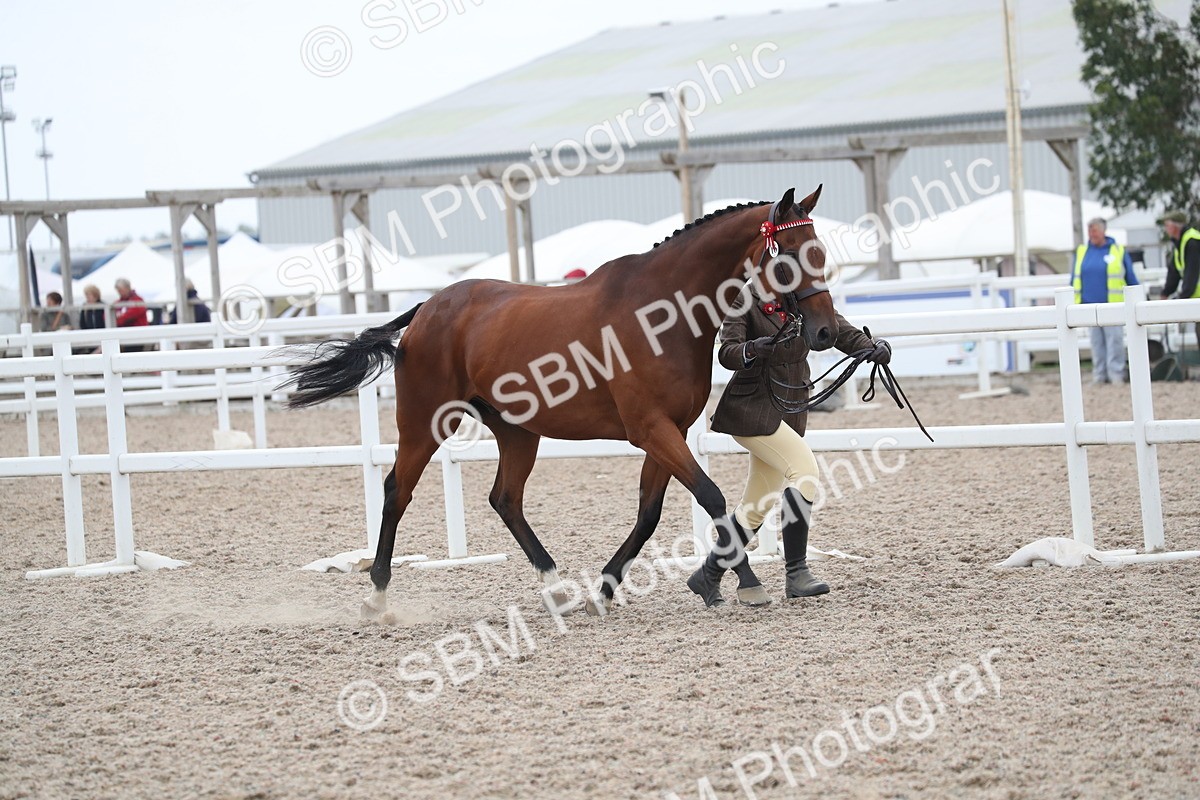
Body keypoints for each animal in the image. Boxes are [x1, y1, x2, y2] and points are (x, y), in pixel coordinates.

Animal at [280, 186, 837, 621]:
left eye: (819, 251)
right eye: (788, 254)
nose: (826, 332)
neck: (661, 314)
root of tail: (427, 309)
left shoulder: (667, 431)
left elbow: (649, 514)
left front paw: (604, 592)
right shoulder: (651, 429)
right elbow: (712, 497)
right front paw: (747, 583)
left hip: (517, 431)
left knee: (505, 499)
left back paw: (557, 589)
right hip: (424, 423)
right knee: (398, 492)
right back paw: (377, 596)